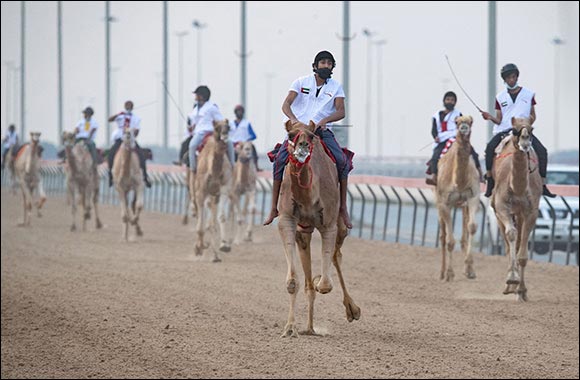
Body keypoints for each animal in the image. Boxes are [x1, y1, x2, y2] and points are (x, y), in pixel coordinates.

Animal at [191, 119, 234, 262]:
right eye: (216, 128)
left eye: (228, 127)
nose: (225, 135)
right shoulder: (201, 191)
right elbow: (200, 225)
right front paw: (198, 248)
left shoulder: (223, 189)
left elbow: (221, 217)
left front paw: (224, 246)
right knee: (202, 218)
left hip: (214, 195)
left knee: (211, 221)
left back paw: (214, 253)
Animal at [276, 120, 358, 336]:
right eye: (290, 135)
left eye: (312, 136)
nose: (302, 146)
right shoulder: (287, 221)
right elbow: (293, 282)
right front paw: (290, 328)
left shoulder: (328, 224)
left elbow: (326, 285)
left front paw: (319, 279)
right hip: (303, 232)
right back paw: (309, 328)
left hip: (340, 222)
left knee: (336, 255)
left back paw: (352, 310)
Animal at [436, 116, 480, 282]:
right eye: (457, 122)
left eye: (471, 121)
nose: (464, 127)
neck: (459, 181)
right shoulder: (445, 203)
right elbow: (449, 240)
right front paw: (449, 274)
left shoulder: (473, 197)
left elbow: (472, 227)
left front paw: (470, 270)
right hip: (438, 202)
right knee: (443, 236)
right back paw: (442, 273)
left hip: (462, 205)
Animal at [490, 117, 544, 302]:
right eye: (515, 130)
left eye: (531, 128)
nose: (525, 141)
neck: (518, 188)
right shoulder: (501, 207)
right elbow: (511, 236)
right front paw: (512, 280)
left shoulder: (531, 212)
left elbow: (523, 254)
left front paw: (521, 290)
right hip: (499, 213)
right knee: (508, 243)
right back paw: (509, 287)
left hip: (519, 214)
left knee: (519, 240)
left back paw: (518, 290)